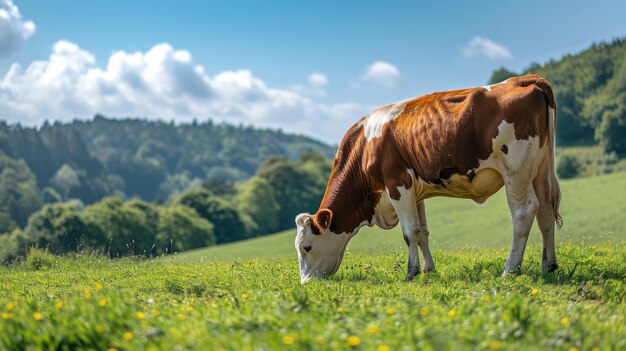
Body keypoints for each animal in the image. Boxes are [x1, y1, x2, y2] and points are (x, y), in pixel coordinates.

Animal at [294, 74, 564, 286]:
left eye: (306, 247)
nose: (305, 282)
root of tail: (524, 79)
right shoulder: (415, 192)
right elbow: (422, 231)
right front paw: (429, 269)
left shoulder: (397, 184)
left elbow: (410, 232)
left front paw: (411, 272)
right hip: (540, 170)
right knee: (546, 212)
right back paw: (549, 265)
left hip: (516, 171)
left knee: (523, 213)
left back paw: (510, 270)